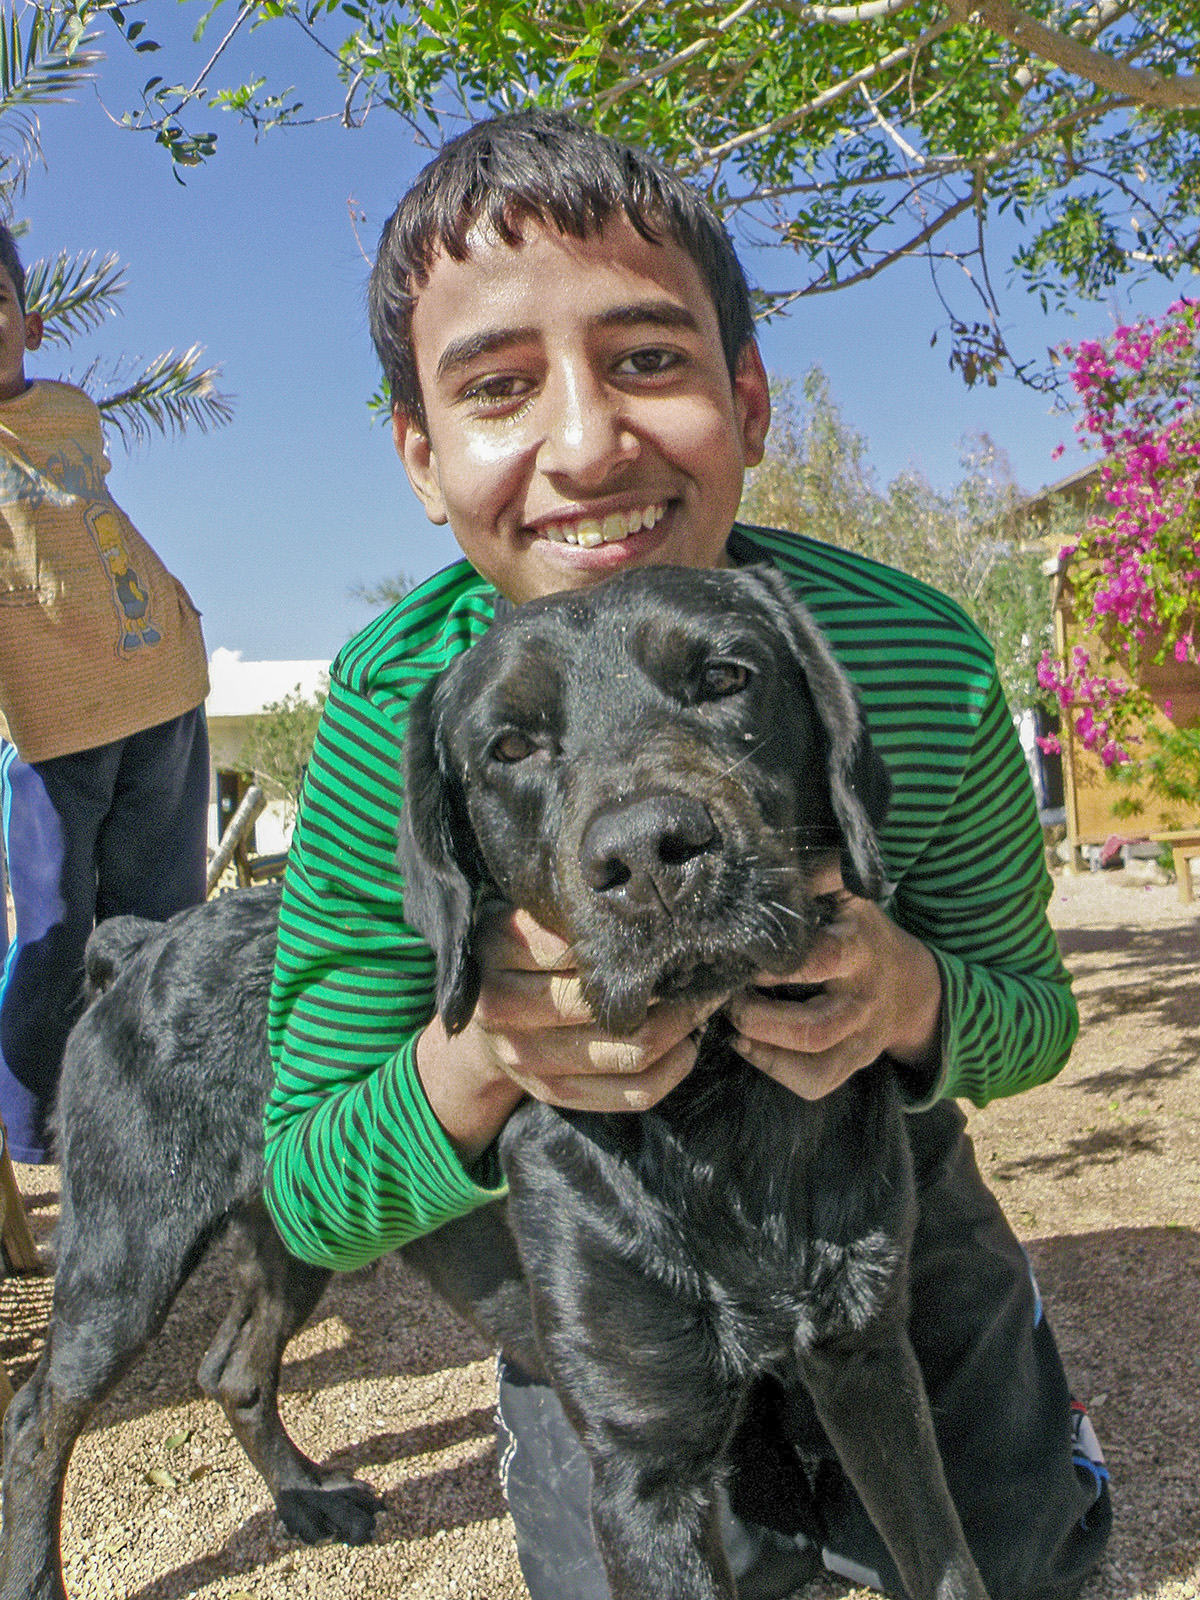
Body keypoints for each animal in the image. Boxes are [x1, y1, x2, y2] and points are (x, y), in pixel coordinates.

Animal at [0, 563, 988, 1600]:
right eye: (509, 747)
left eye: (725, 678)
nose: (650, 854)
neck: (717, 1109)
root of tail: (143, 943)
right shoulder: (645, 1466)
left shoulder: (869, 1362)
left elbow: (949, 1562)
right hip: (126, 1252)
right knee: (38, 1420)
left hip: (293, 1238)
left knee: (231, 1370)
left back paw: (306, 1497)